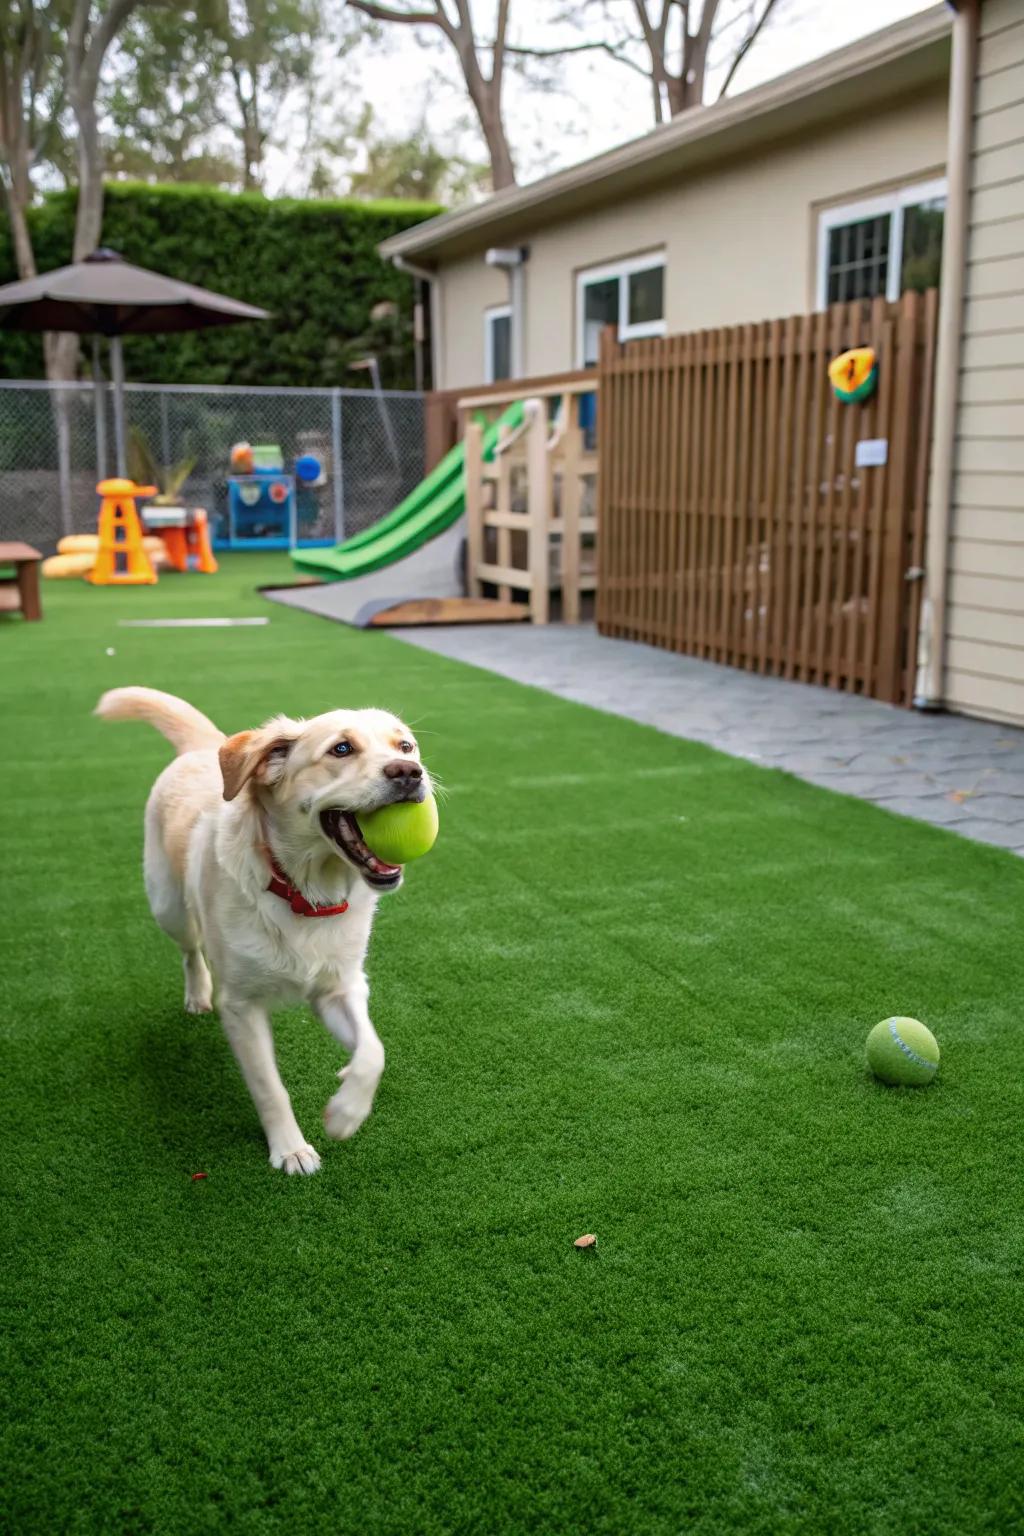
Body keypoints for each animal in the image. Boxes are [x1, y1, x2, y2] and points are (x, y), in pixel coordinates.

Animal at [97, 688, 432, 1173]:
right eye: (341, 749)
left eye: (405, 746)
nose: (409, 772)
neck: (306, 893)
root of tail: (205, 747)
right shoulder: (241, 1007)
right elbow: (270, 1088)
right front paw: (290, 1148)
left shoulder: (341, 987)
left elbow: (374, 1053)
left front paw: (346, 1112)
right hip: (168, 906)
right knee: (190, 949)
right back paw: (197, 994)